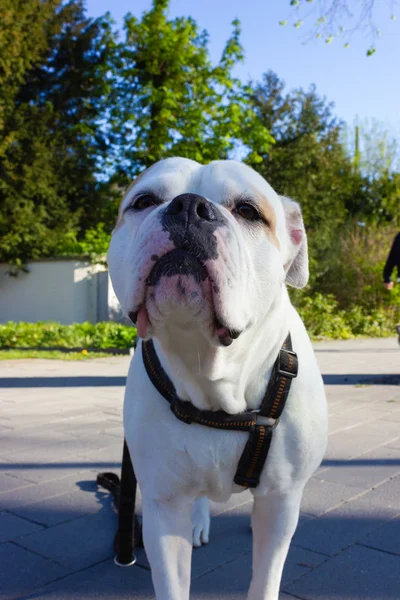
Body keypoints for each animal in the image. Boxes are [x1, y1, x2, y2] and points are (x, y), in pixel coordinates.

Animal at [107, 157, 328, 596]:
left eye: (248, 211)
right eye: (143, 201)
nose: (188, 207)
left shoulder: (282, 499)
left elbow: (266, 576)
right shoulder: (164, 505)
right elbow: (172, 581)